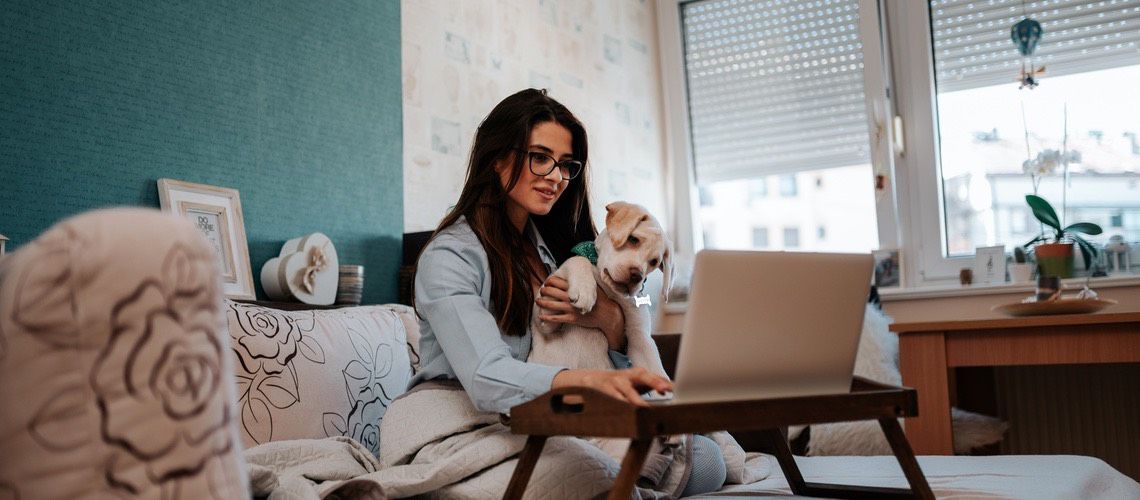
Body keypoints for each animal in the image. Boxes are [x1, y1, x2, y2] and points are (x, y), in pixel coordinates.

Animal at [528, 201, 670, 378]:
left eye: (654, 262)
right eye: (633, 239)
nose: (637, 276)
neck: (610, 289)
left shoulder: (640, 338)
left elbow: (656, 372)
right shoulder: (544, 318)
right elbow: (578, 259)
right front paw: (584, 290)